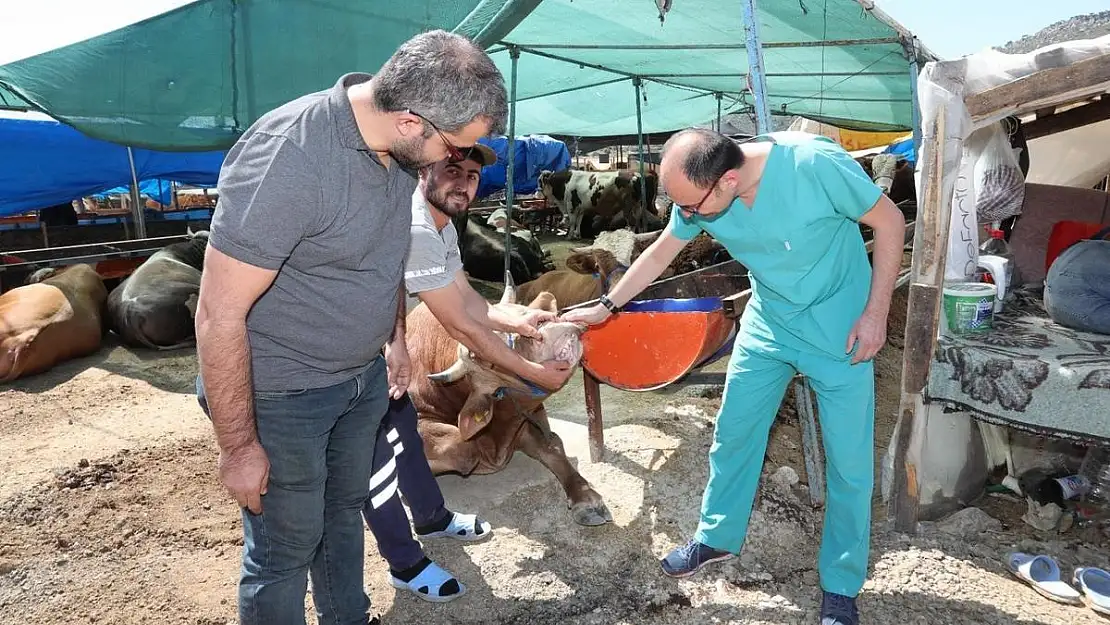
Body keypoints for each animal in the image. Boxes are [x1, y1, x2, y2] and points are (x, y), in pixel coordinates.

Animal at [404, 286, 612, 526]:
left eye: (526, 313)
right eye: (490, 358)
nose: (553, 330)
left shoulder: (527, 417)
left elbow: (553, 444)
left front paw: (586, 499)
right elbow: (463, 448)